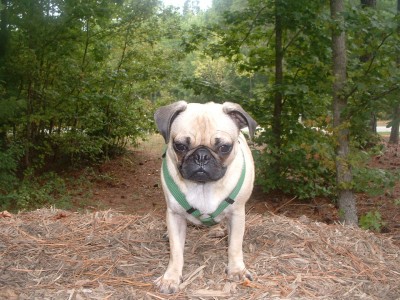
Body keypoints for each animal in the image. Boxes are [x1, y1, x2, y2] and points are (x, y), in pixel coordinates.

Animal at [153, 101, 256, 292]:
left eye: (224, 147)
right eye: (180, 146)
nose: (201, 155)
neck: (203, 186)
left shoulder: (237, 214)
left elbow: (235, 245)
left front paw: (236, 270)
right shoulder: (174, 216)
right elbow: (176, 251)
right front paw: (170, 278)